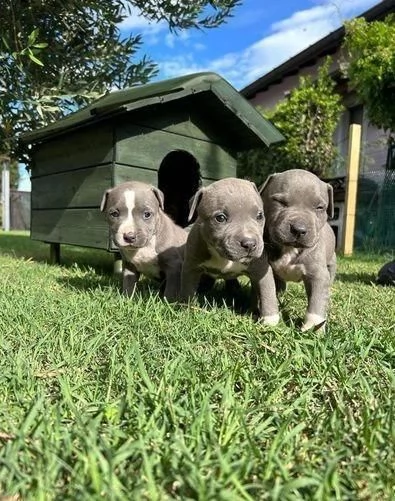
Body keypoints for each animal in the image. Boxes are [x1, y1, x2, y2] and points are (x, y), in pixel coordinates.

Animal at [181, 178, 280, 326]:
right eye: (220, 218)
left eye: (259, 216)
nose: (250, 244)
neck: (223, 257)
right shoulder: (191, 267)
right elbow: (187, 289)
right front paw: (187, 311)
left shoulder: (261, 269)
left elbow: (267, 292)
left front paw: (270, 320)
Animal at [260, 169, 338, 332]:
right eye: (280, 202)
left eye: (319, 208)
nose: (299, 229)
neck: (290, 248)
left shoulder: (318, 275)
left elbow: (316, 302)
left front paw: (312, 328)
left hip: (332, 263)